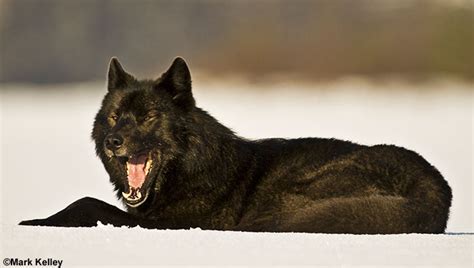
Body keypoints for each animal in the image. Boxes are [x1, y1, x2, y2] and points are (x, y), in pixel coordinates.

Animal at [21, 58, 452, 232]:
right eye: (113, 117)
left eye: (146, 118)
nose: (114, 142)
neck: (191, 169)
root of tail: (436, 189)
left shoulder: (176, 223)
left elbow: (88, 203)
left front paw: (33, 222)